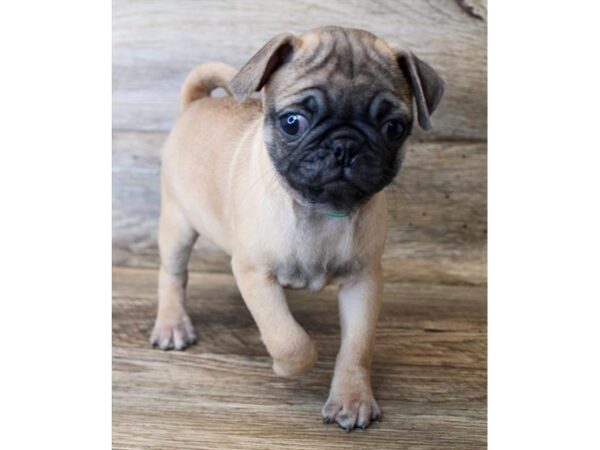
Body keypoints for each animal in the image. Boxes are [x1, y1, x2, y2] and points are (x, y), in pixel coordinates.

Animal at [149, 25, 440, 432]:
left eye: (394, 128)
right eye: (292, 122)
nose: (345, 145)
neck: (320, 211)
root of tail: (197, 104)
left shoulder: (364, 282)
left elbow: (358, 346)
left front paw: (352, 399)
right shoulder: (256, 274)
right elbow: (289, 339)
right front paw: (285, 366)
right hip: (178, 222)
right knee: (172, 274)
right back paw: (172, 326)